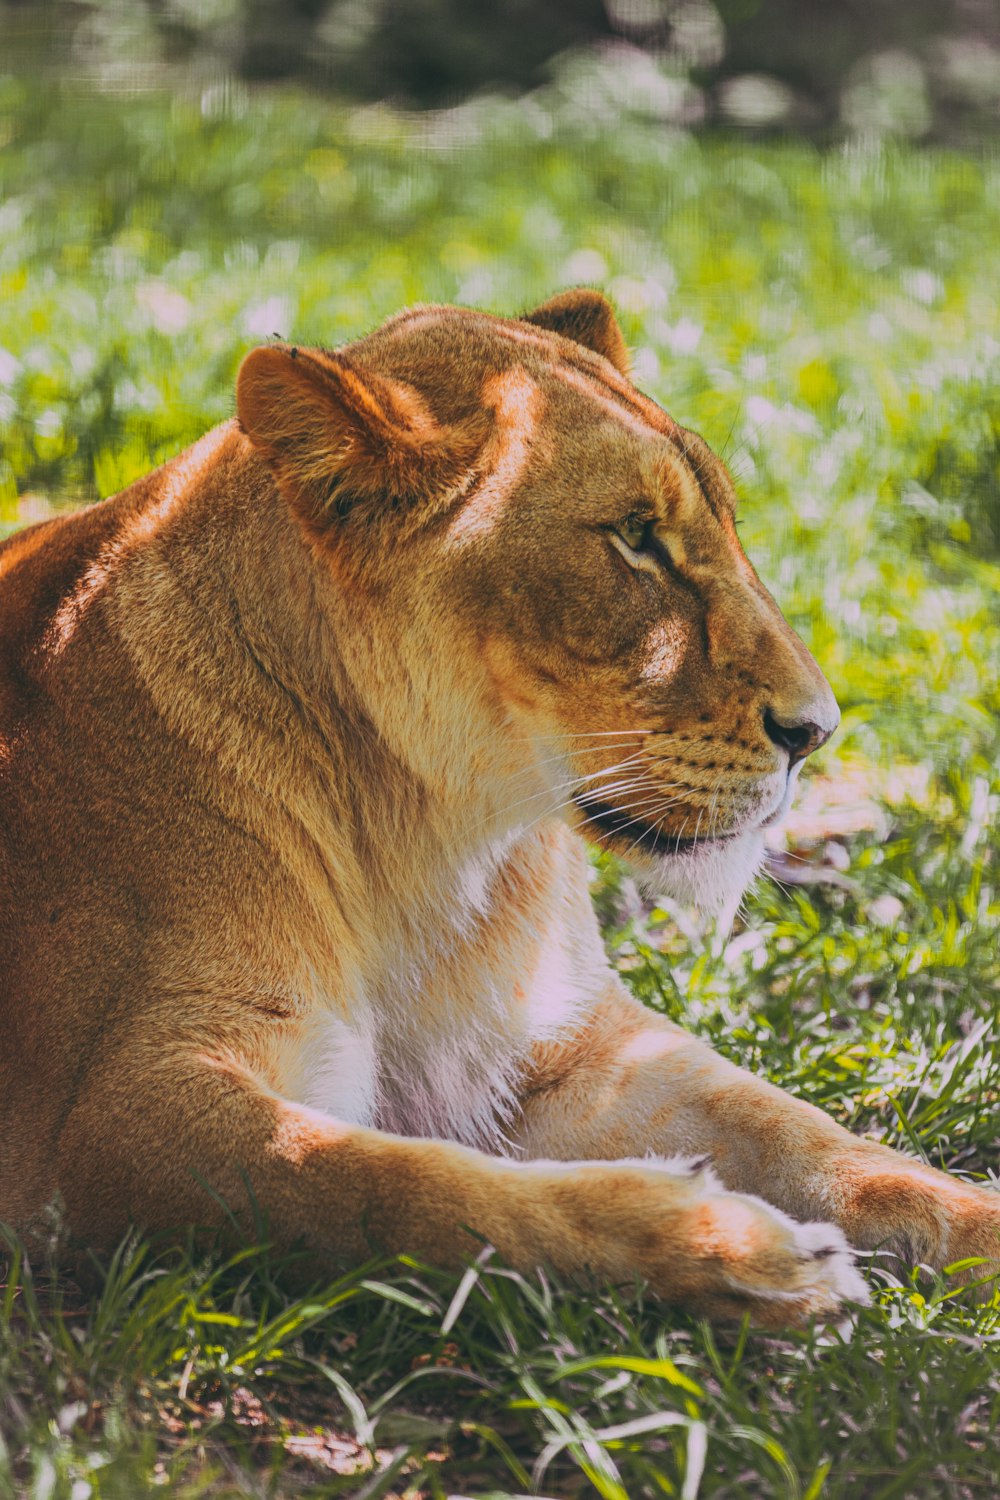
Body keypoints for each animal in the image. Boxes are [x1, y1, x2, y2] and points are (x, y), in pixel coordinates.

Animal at [0, 292, 995, 1326]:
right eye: (635, 535)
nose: (818, 731)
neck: (430, 850)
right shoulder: (108, 1118)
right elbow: (405, 1193)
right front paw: (735, 1251)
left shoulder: (582, 1048)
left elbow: (814, 1136)